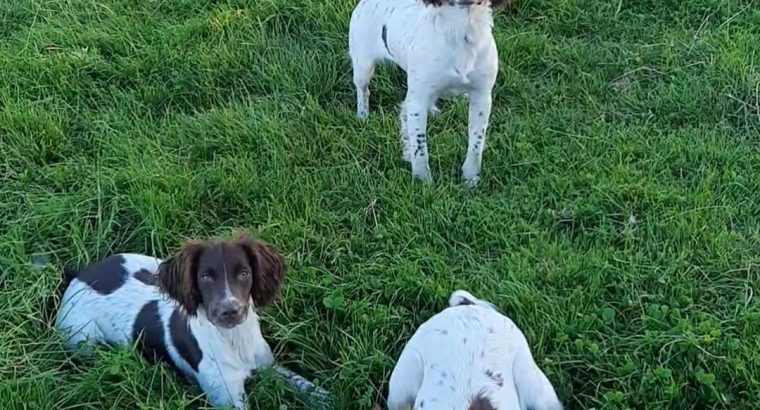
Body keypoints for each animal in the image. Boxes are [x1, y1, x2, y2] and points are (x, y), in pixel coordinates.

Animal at [53, 232, 326, 408]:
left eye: (244, 274)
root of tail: (80, 274)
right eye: (205, 277)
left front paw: (327, 396)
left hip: (150, 263)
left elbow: (303, 384)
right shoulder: (228, 397)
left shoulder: (267, 365)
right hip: (83, 339)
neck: (233, 339)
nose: (230, 311)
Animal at [348, 0, 504, 186]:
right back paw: (363, 116)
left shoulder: (482, 97)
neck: (462, 27)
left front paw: (471, 178)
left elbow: (476, 143)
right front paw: (423, 180)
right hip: (362, 67)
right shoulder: (418, 100)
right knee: (363, 91)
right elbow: (419, 145)